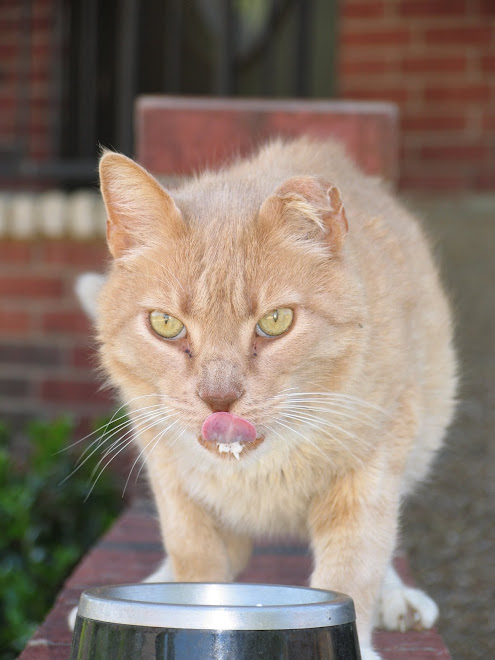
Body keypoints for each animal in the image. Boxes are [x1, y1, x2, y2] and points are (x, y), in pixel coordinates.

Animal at [73, 137, 458, 656]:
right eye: (165, 324)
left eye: (275, 321)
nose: (218, 399)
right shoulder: (167, 468)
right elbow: (194, 558)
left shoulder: (373, 464)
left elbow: (355, 565)